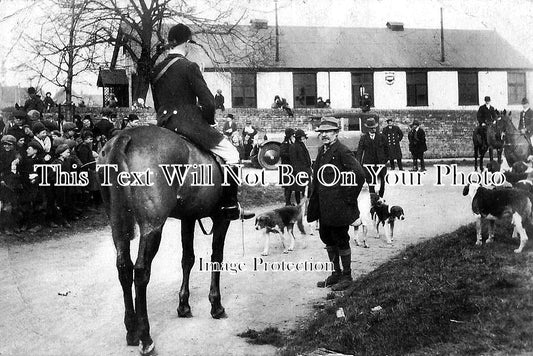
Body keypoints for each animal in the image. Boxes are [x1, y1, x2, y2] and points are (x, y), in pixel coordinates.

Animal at [97, 124, 233, 354]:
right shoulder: (221, 218)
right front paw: (216, 305)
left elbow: (188, 259)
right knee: (141, 272)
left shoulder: (188, 218)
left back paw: (131, 332)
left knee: (124, 268)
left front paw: (184, 306)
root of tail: (125, 137)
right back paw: (146, 338)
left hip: (117, 225)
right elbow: (217, 257)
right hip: (152, 227)